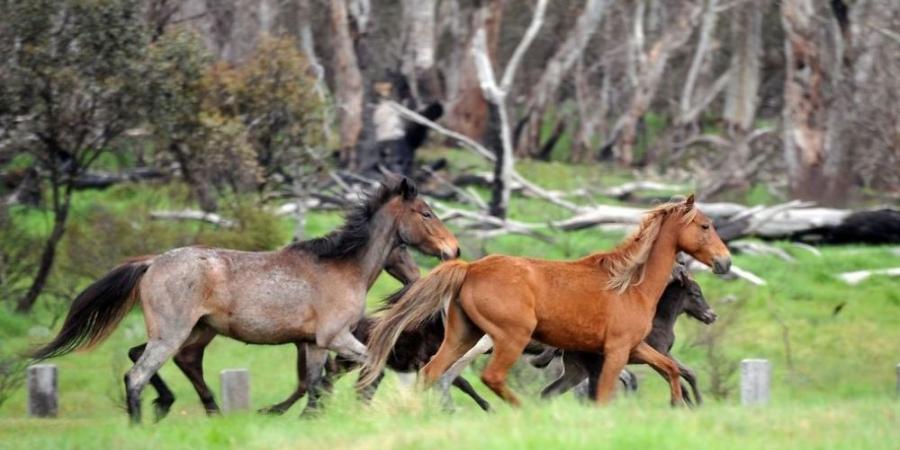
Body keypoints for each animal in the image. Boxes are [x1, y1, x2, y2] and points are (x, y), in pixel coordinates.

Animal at [31, 178, 460, 424]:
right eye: (426, 212)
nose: (453, 250)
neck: (342, 267)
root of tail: (152, 262)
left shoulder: (314, 343)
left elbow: (315, 383)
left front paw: (310, 418)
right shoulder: (336, 337)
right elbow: (370, 366)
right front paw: (358, 403)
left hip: (189, 332)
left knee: (157, 361)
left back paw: (184, 407)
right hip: (174, 333)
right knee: (137, 374)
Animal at [364, 195, 732, 406]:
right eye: (705, 225)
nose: (725, 262)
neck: (631, 286)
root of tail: (470, 268)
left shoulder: (635, 347)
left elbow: (670, 369)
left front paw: (680, 405)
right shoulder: (616, 352)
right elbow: (605, 395)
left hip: (462, 335)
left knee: (432, 374)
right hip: (511, 337)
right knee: (488, 378)